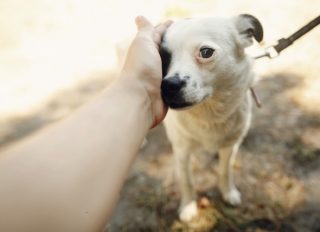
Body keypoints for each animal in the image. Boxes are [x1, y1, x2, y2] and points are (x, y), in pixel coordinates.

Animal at [160, 14, 262, 221]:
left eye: (206, 52)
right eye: (162, 57)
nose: (169, 85)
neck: (209, 113)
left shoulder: (230, 146)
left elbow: (225, 170)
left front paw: (228, 192)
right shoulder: (182, 151)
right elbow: (186, 180)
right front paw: (188, 206)